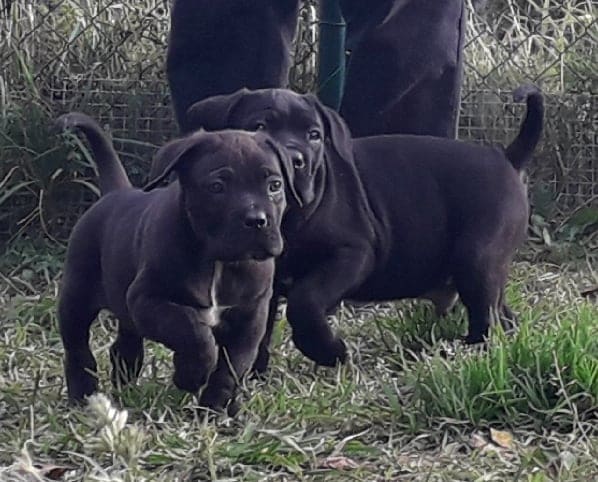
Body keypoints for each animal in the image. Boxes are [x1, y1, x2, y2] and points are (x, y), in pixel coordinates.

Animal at [56, 113, 297, 412]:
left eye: (275, 185)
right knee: (77, 346)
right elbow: (193, 331)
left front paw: (214, 410)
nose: (256, 220)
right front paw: (190, 375)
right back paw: (83, 394)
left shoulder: (250, 317)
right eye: (217, 187)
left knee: (124, 347)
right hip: (77, 294)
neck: (219, 262)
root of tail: (114, 192)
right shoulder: (148, 300)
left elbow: (231, 368)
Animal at [168, 85, 543, 372]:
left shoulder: (352, 255)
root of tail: (505, 157)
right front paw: (253, 374)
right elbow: (258, 326)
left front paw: (328, 351)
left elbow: (305, 300)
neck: (291, 217)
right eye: (259, 126)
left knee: (485, 312)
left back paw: (473, 351)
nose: (295, 161)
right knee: (500, 312)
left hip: (477, 258)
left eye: (314, 135)